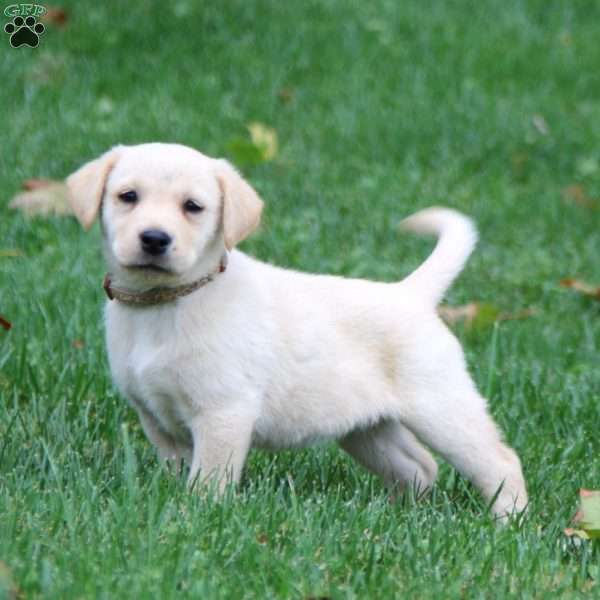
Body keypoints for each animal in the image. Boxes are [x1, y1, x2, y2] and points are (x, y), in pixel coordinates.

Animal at [68, 143, 528, 516]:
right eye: (128, 196)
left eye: (193, 206)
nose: (154, 239)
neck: (167, 302)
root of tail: (411, 293)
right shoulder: (154, 417)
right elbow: (176, 468)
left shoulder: (224, 412)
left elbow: (208, 480)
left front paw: (197, 516)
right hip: (366, 429)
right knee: (419, 465)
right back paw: (397, 515)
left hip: (442, 407)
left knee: (501, 461)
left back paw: (510, 522)